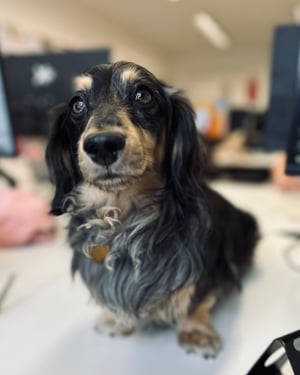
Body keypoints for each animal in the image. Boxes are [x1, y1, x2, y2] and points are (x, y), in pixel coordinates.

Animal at [45, 61, 258, 358]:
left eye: (143, 95)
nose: (102, 145)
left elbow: (196, 299)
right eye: (76, 104)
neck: (123, 219)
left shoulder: (211, 268)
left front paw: (196, 331)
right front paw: (113, 319)